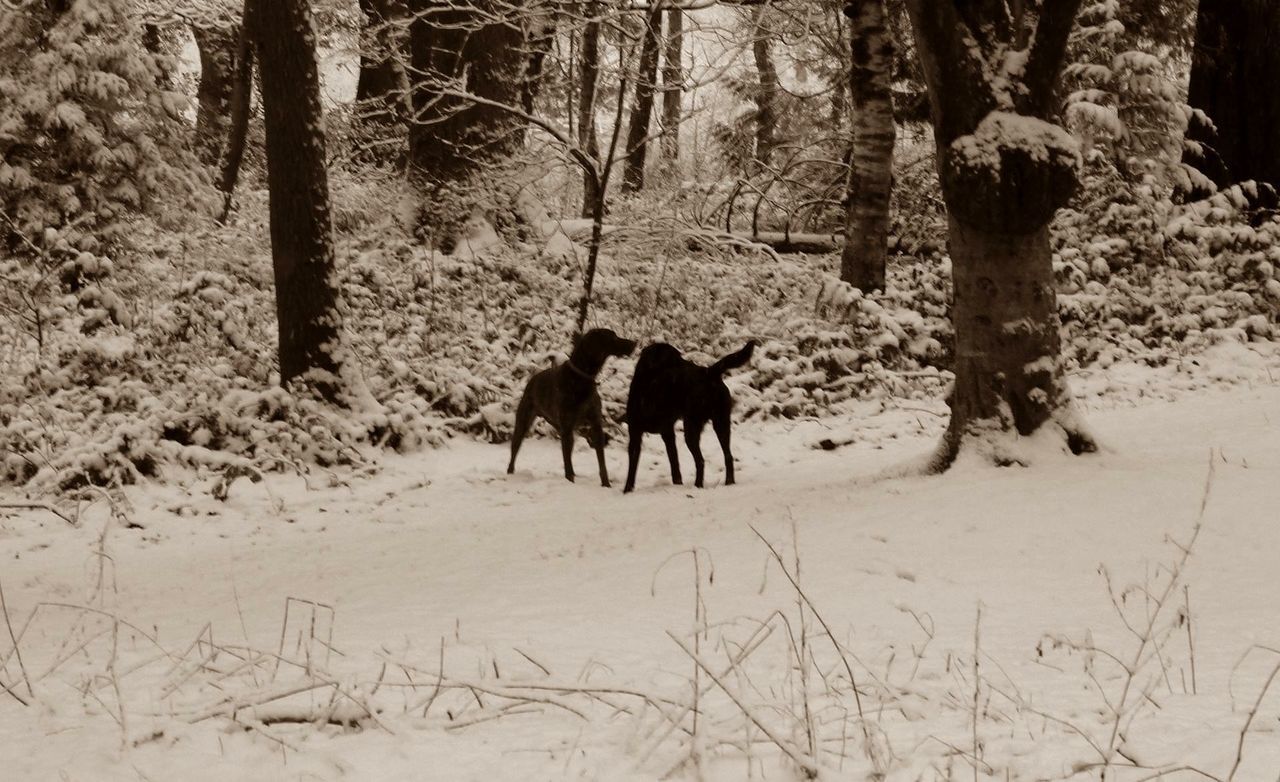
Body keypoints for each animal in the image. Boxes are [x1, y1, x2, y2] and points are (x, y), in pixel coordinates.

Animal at [504, 327, 634, 486]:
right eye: (613, 338)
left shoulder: (596, 425)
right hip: (524, 421)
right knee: (514, 449)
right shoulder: (566, 427)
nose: (634, 343)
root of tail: (532, 379)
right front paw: (570, 482)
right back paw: (510, 473)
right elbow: (567, 464)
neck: (582, 377)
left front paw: (606, 484)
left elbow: (601, 462)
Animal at [624, 340, 752, 491]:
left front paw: (627, 490)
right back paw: (729, 482)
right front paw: (677, 483)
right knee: (728, 456)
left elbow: (632, 468)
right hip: (721, 422)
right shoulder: (667, 433)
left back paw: (698, 485)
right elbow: (674, 462)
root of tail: (709, 372)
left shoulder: (635, 431)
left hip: (692, 427)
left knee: (701, 460)